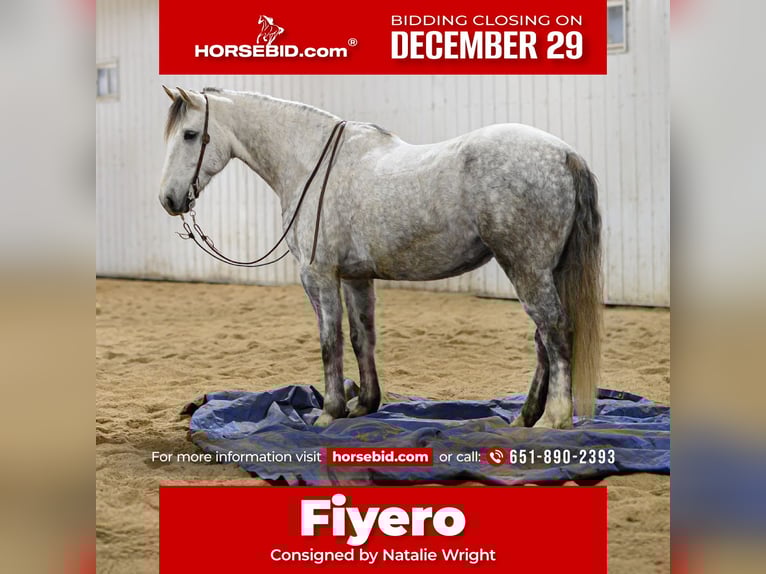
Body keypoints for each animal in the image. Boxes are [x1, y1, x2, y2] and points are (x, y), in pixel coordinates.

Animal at [159, 86, 603, 429]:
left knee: (554, 331)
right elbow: (361, 337)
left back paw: (553, 419)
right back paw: (525, 416)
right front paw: (364, 405)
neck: (311, 163)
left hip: (527, 268)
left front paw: (330, 411)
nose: (168, 199)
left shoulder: (318, 275)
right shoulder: (356, 276)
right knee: (543, 339)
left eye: (191, 134)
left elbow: (330, 339)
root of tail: (564, 154)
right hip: (544, 271)